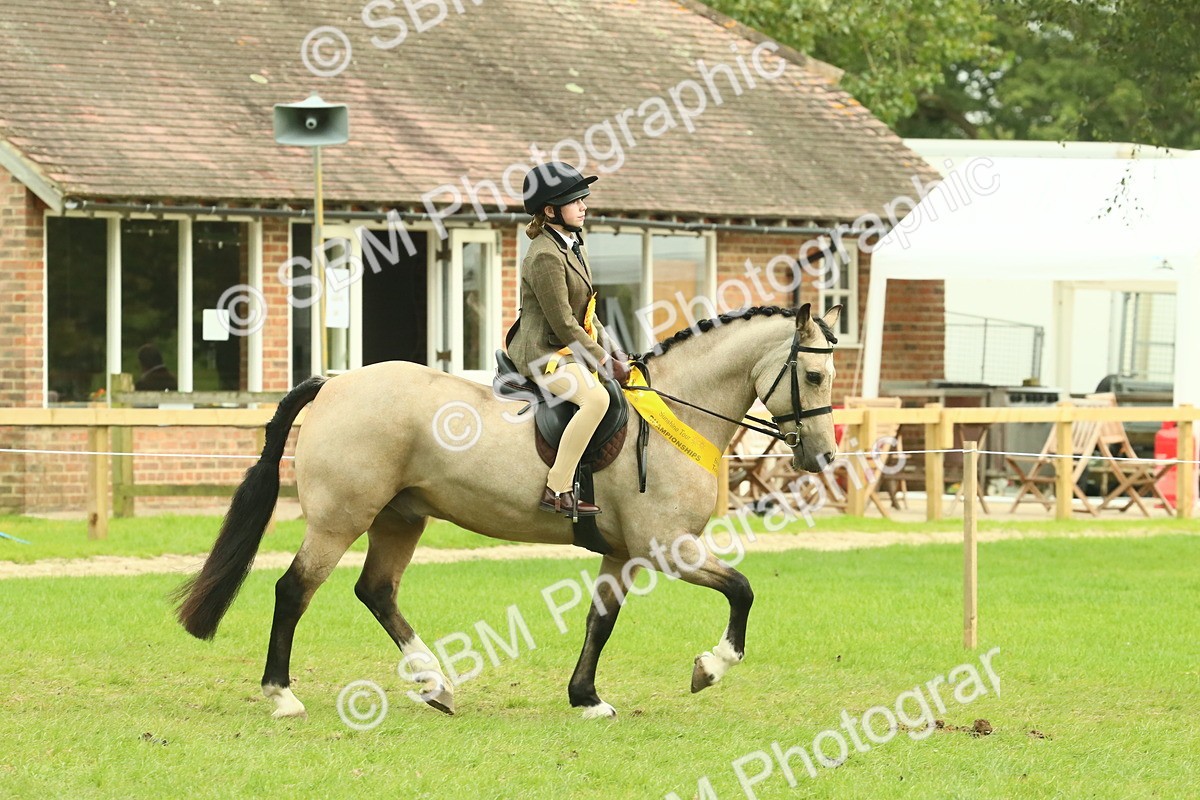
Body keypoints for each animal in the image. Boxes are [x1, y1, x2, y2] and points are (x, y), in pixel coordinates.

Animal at [175, 303, 841, 720]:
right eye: (813, 373)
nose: (825, 456)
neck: (675, 414)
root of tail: (335, 383)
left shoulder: (623, 554)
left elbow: (600, 621)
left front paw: (586, 698)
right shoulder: (667, 547)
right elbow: (742, 589)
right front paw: (710, 667)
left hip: (400, 517)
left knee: (377, 591)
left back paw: (435, 684)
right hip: (342, 518)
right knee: (295, 590)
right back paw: (282, 696)